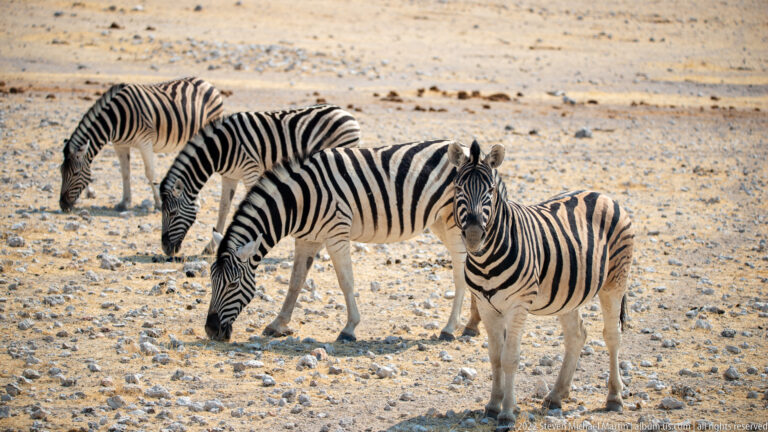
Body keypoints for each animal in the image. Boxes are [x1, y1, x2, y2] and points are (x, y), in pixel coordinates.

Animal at [59, 77, 224, 212]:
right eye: (61, 171)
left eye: (76, 173)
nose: (62, 205)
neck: (115, 119)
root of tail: (207, 83)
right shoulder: (119, 145)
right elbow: (125, 172)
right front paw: (124, 203)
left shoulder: (145, 142)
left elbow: (150, 173)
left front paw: (158, 204)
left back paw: (196, 202)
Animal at [159, 104, 361, 256]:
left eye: (173, 213)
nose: (166, 249)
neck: (221, 147)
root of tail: (347, 113)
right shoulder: (230, 176)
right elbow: (223, 209)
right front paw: (210, 247)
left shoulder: (250, 169)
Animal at [205, 140, 482, 342]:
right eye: (211, 281)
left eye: (233, 284)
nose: (211, 330)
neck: (299, 199)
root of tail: (468, 150)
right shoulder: (307, 239)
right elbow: (296, 282)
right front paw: (278, 324)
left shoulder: (336, 234)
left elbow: (346, 281)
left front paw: (349, 329)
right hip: (440, 223)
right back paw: (472, 325)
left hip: (454, 223)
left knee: (460, 273)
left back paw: (449, 328)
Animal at [447, 140, 634, 426]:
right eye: (458, 188)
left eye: (490, 190)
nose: (474, 236)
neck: (486, 259)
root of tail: (602, 195)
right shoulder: (487, 307)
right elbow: (494, 357)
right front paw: (492, 405)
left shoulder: (518, 305)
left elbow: (510, 358)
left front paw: (507, 413)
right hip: (569, 292)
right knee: (577, 335)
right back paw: (556, 395)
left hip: (615, 282)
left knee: (612, 336)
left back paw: (614, 397)